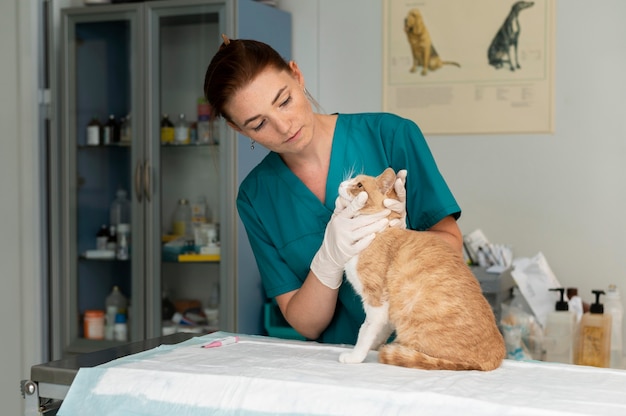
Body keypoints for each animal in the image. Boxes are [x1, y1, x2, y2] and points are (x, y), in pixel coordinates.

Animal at [336, 168, 502, 370]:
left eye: (359, 185)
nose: (342, 184)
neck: (377, 232)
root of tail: (496, 356)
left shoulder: (376, 301)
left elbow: (365, 331)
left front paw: (355, 356)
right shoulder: (386, 310)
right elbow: (379, 330)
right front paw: (372, 347)